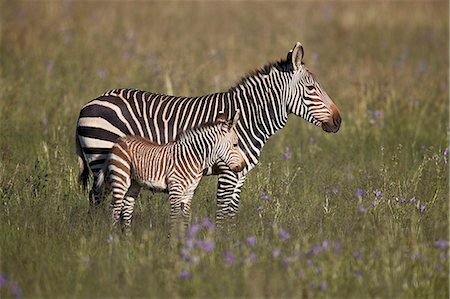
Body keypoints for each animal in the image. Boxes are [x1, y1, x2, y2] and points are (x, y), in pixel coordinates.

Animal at [96, 111, 244, 231]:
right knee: (115, 210)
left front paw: (183, 243)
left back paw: (127, 240)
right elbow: (174, 218)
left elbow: (185, 220)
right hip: (120, 178)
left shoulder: (189, 193)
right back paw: (114, 239)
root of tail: (119, 141)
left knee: (127, 209)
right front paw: (171, 245)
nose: (242, 166)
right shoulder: (175, 190)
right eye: (235, 144)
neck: (193, 157)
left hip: (134, 183)